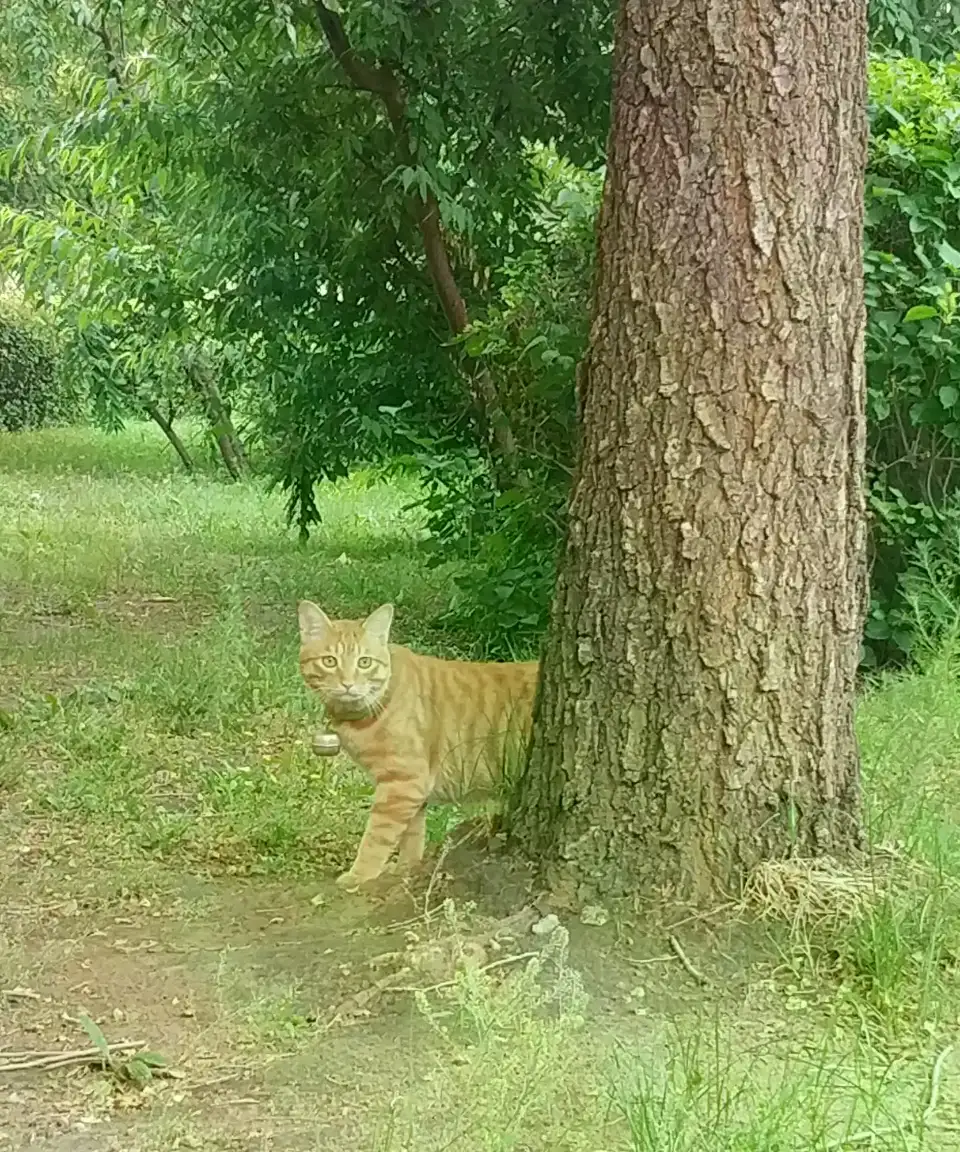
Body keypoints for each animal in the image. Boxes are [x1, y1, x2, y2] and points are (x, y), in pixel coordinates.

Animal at [297, 603, 539, 889]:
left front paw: (360, 875)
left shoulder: (402, 783)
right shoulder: (411, 788)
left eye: (364, 662)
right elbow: (412, 834)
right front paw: (406, 869)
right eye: (329, 661)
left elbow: (376, 838)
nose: (347, 684)